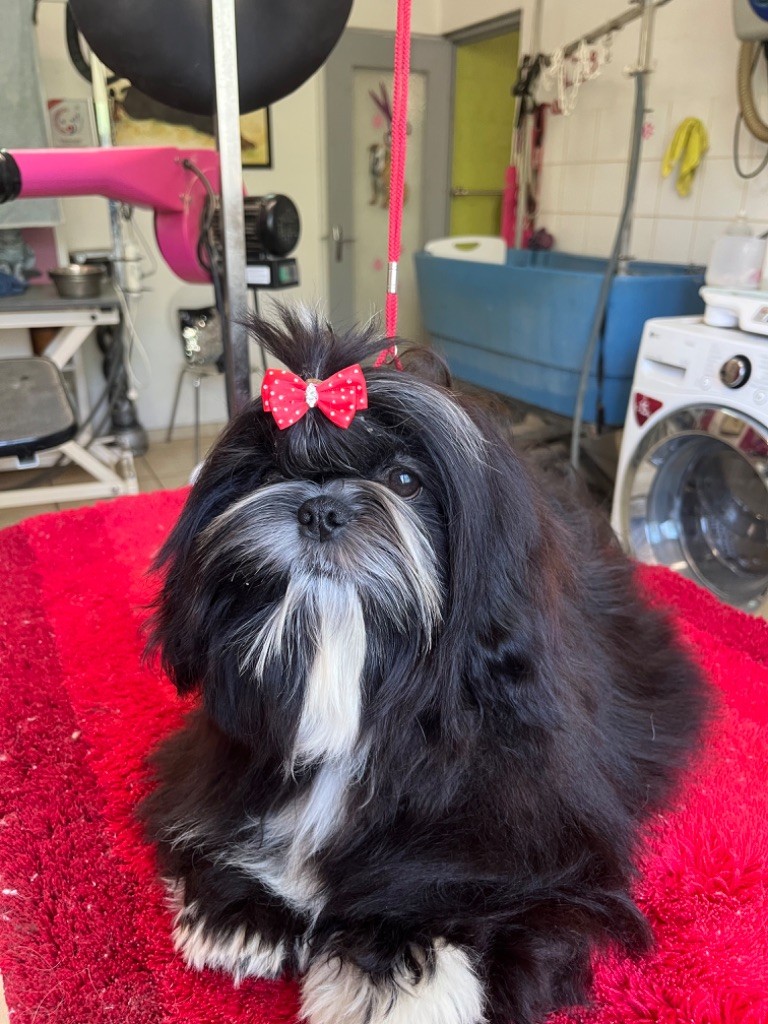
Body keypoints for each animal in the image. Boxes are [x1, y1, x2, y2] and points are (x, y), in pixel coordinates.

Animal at [141, 308, 708, 1024]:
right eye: (268, 472)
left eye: (405, 482)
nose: (320, 507)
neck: (356, 669)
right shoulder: (221, 757)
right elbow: (219, 817)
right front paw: (241, 909)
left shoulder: (546, 831)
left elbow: (451, 880)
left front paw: (392, 965)